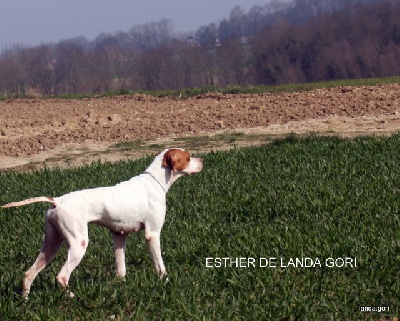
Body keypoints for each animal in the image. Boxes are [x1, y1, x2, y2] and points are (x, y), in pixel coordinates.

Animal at [1, 148, 203, 298]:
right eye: (188, 157)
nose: (203, 160)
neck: (154, 182)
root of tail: (57, 201)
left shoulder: (119, 236)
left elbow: (121, 270)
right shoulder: (152, 234)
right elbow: (160, 266)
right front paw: (165, 282)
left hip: (51, 246)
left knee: (28, 274)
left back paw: (25, 301)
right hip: (78, 244)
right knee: (61, 277)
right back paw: (73, 297)